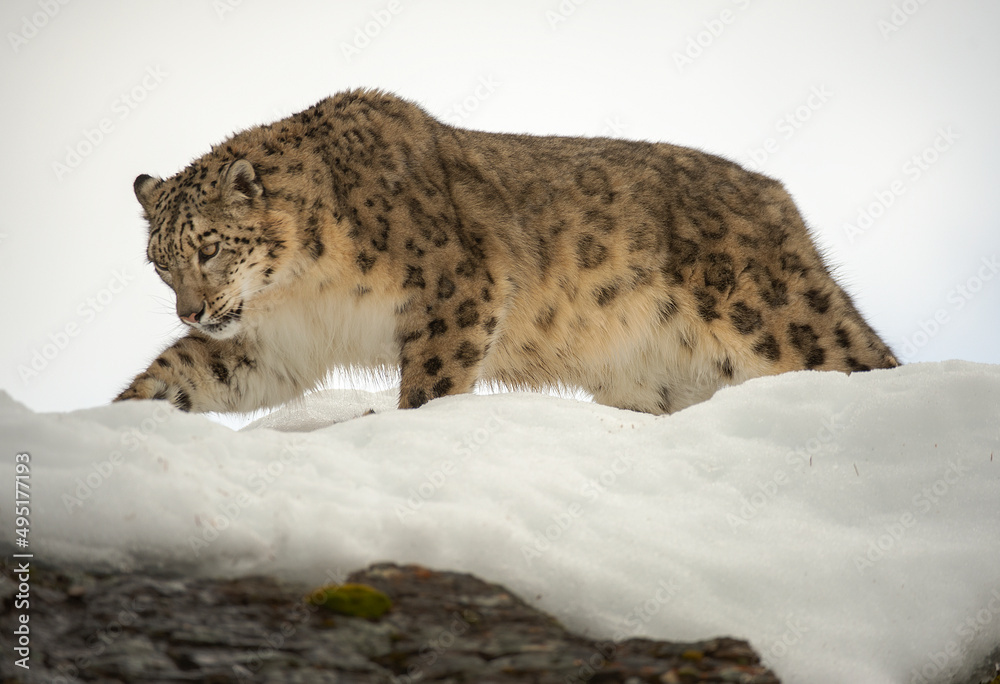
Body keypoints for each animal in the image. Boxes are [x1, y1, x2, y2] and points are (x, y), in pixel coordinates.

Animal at [115, 88, 898, 416]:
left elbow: (430, 385)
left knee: (866, 359)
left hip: (786, 320)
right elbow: (183, 374)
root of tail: (778, 198)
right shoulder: (274, 341)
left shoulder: (456, 289)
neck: (302, 287)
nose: (191, 312)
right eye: (159, 261)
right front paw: (122, 420)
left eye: (209, 247)